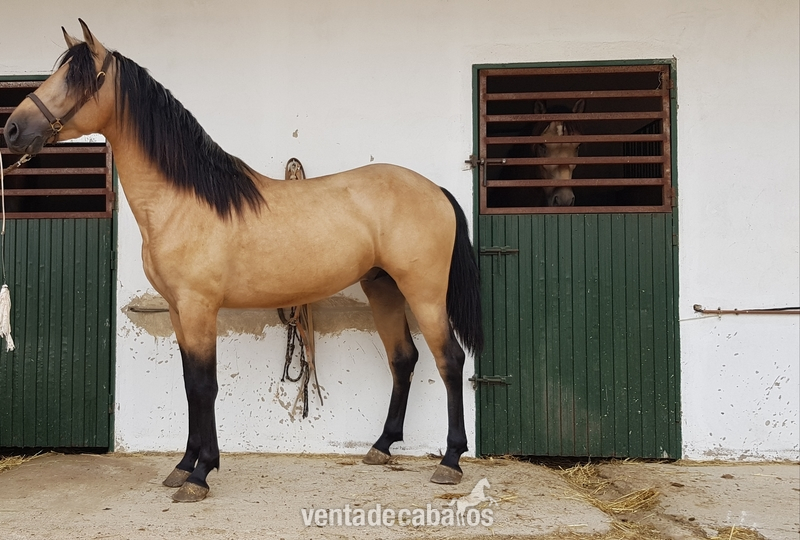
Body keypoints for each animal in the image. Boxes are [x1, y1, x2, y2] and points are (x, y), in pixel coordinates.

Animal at [4, 20, 483, 502]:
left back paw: (450, 461)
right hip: (382, 286)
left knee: (449, 360)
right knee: (403, 357)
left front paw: (200, 475)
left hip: (423, 292)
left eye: (76, 79)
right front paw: (183, 465)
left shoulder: (199, 308)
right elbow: (190, 385)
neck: (183, 201)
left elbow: (204, 385)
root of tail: (436, 189)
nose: (11, 130)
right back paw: (381, 446)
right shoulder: (177, 310)